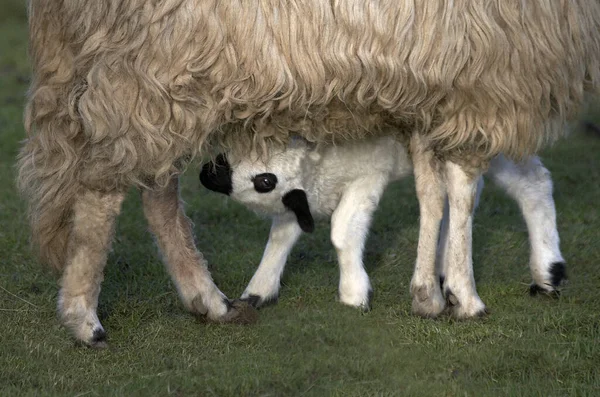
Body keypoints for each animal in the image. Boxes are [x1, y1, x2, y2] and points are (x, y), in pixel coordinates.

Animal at [200, 136, 568, 310]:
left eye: (264, 181)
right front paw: (258, 290)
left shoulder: (368, 176)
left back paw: (548, 272)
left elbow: (342, 231)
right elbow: (281, 234)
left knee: (532, 183)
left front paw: (354, 293)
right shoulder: (304, 197)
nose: (205, 174)